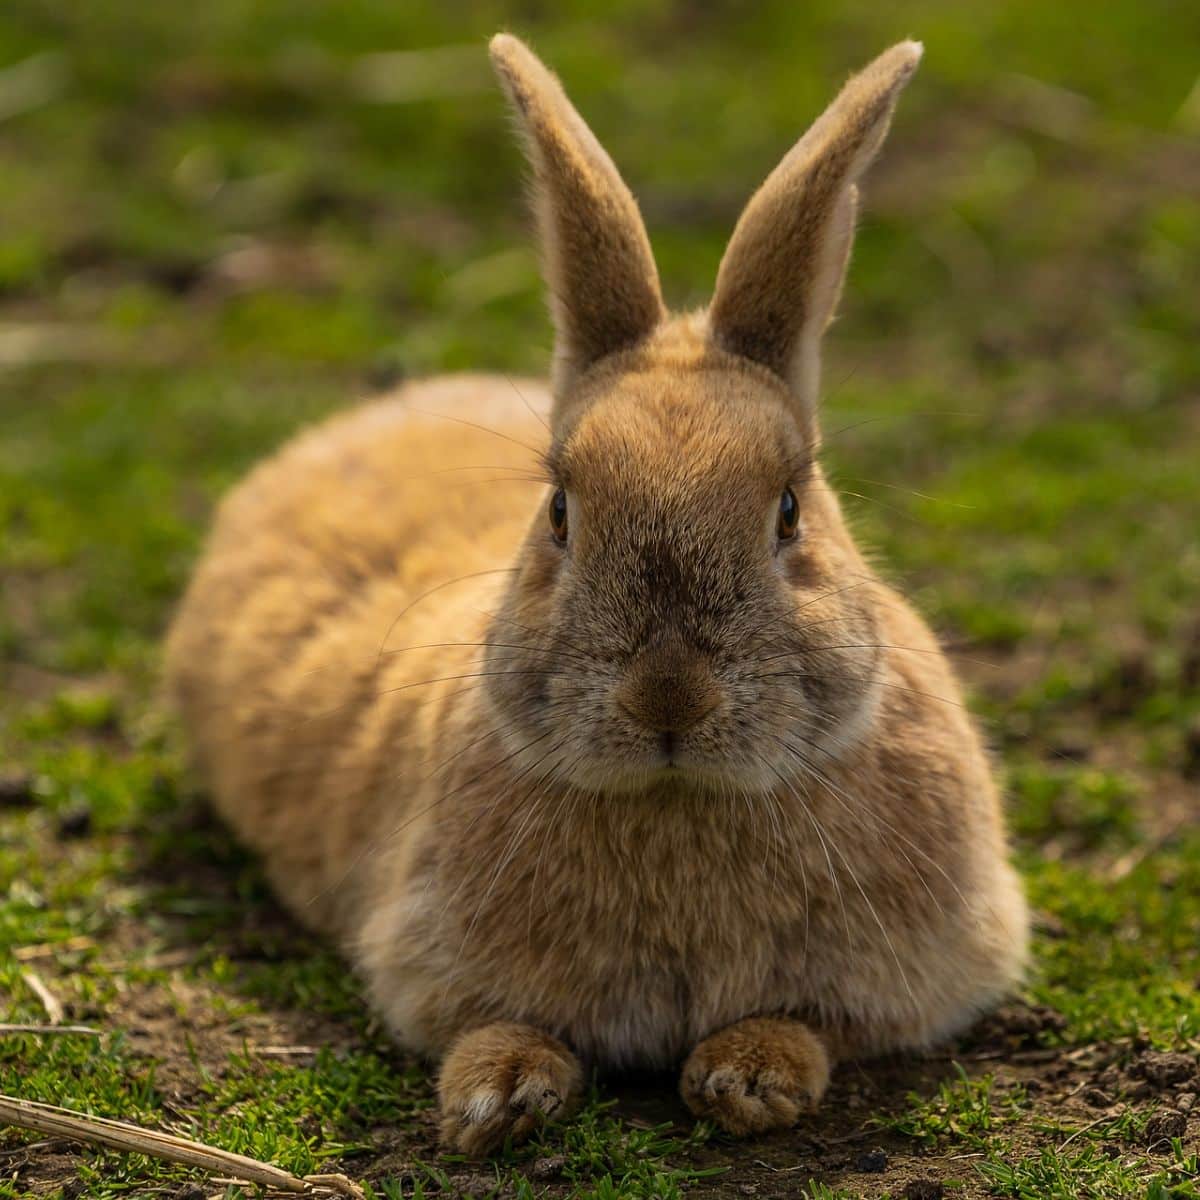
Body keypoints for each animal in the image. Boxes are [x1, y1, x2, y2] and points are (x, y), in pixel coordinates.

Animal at [164, 32, 1032, 1156]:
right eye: (560, 513)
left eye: (789, 511)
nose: (668, 698)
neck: (679, 799)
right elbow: (493, 1025)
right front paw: (496, 1096)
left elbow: (812, 1025)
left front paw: (751, 1075)